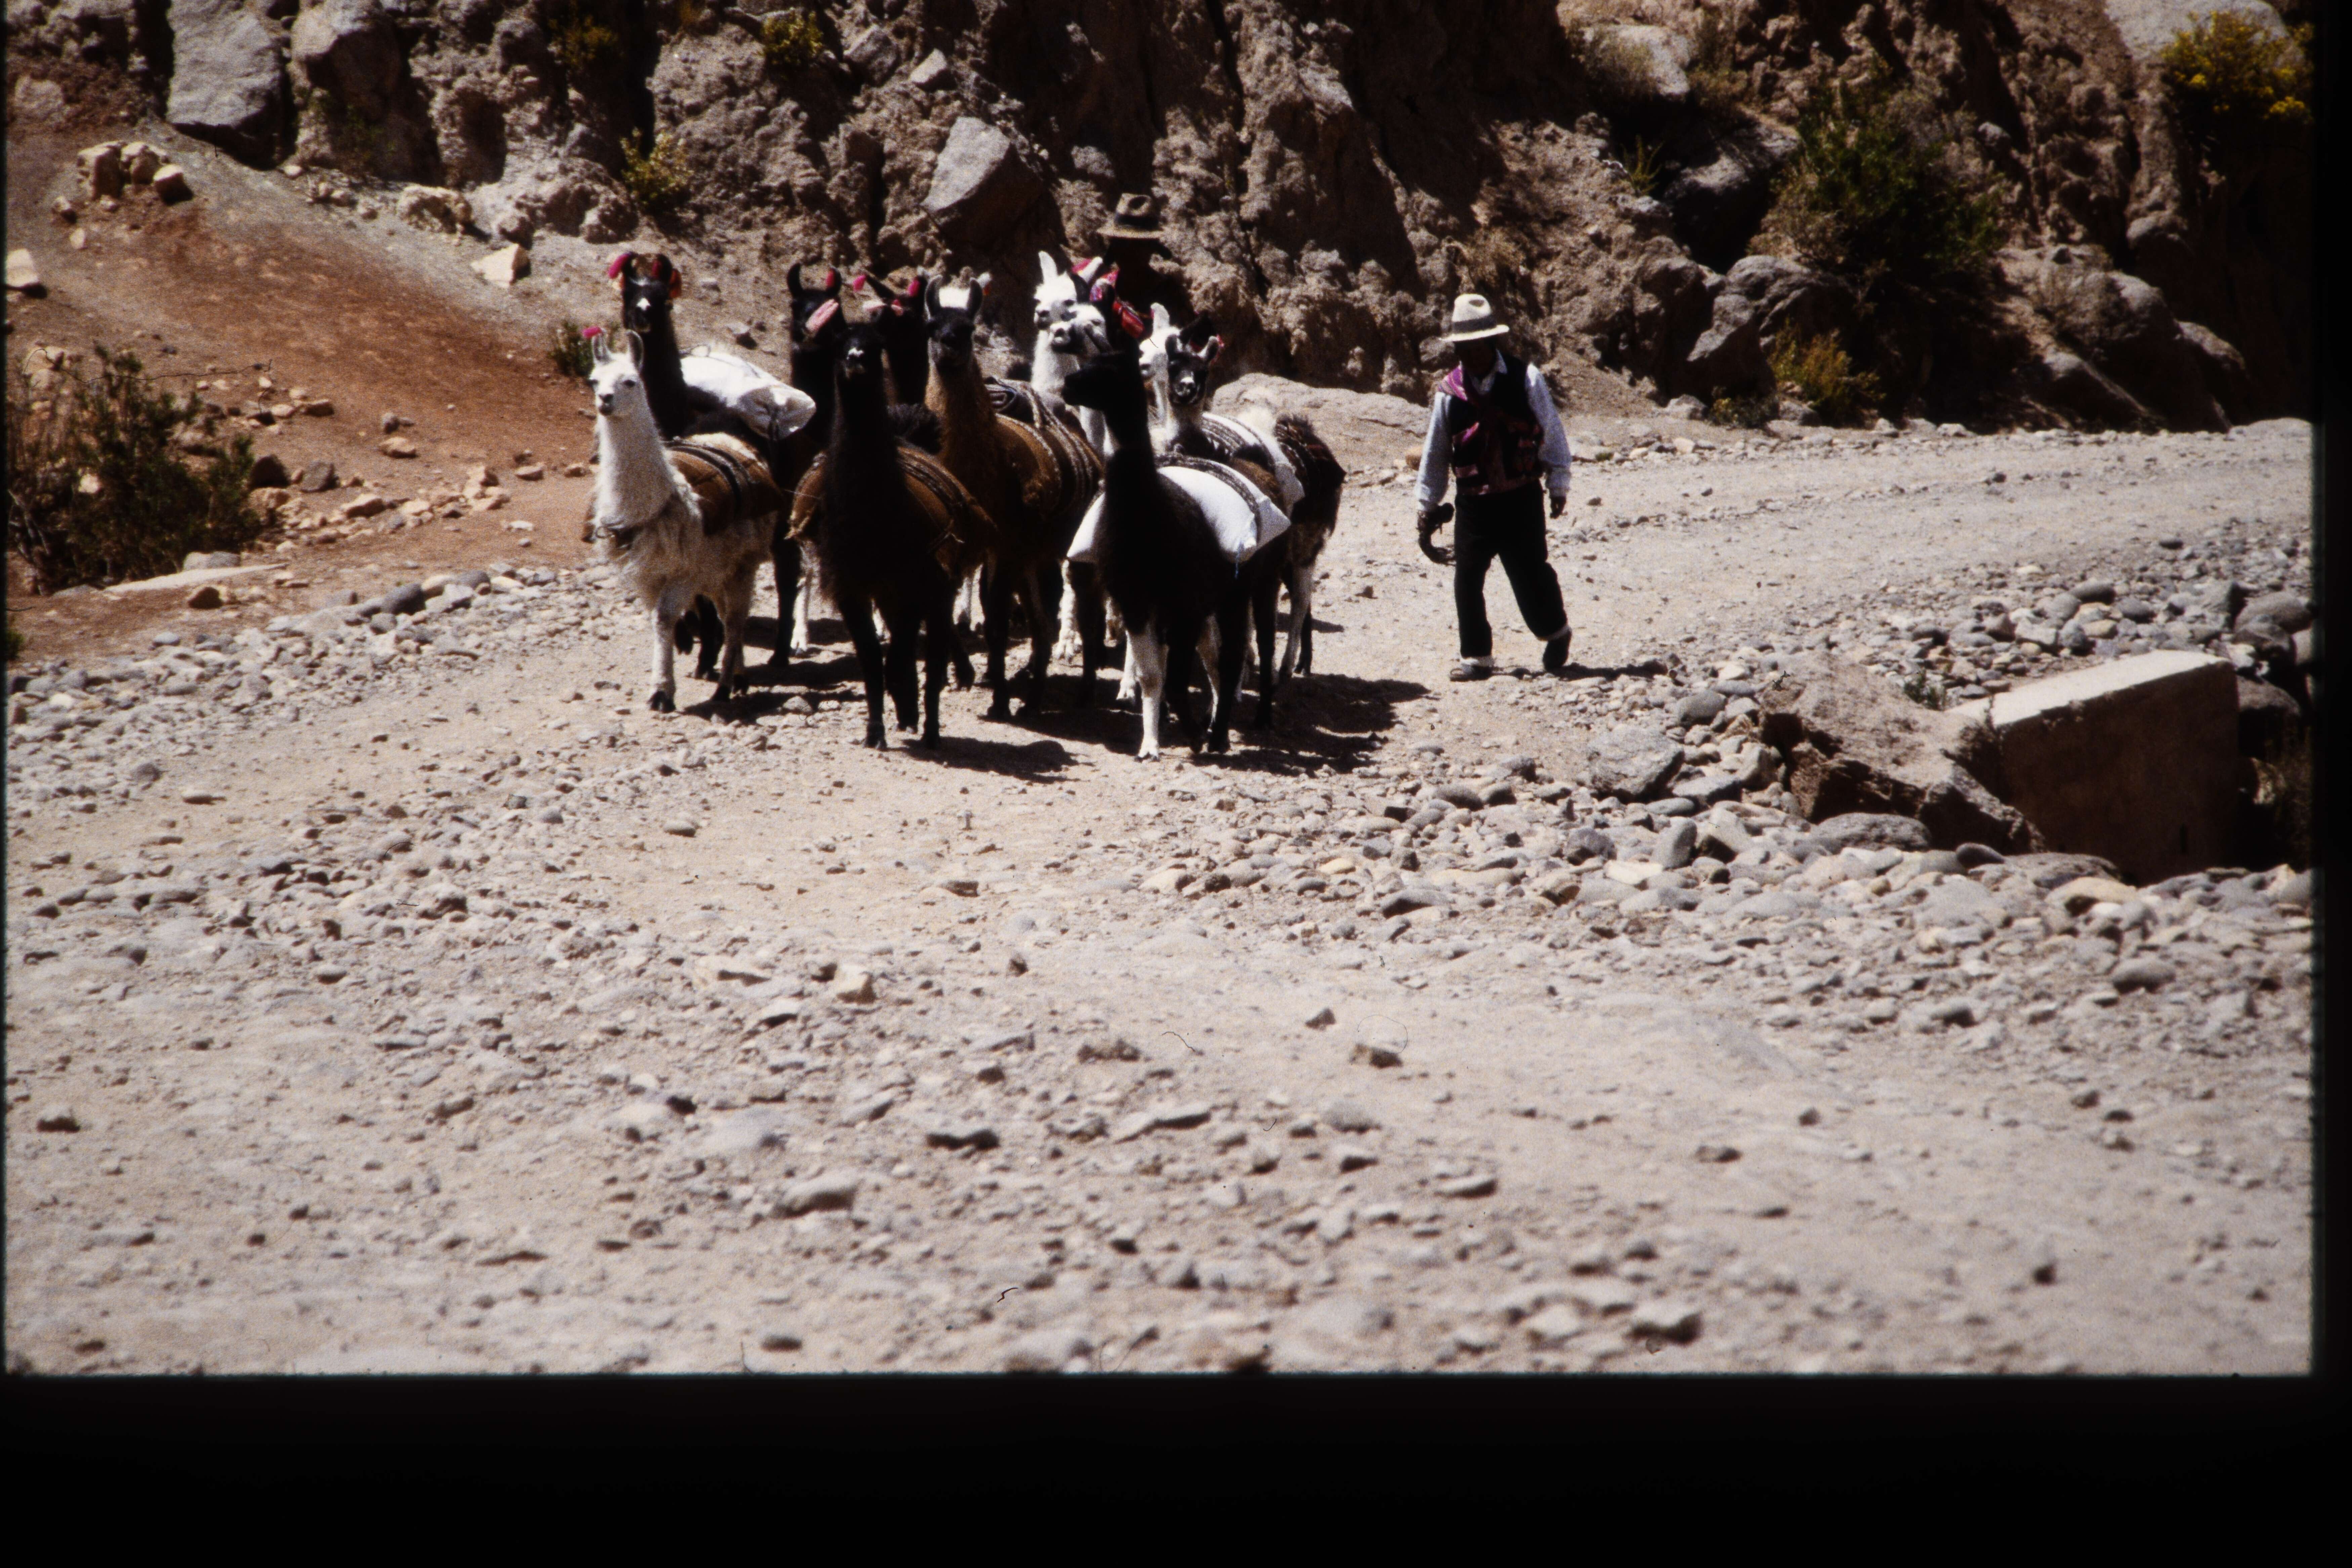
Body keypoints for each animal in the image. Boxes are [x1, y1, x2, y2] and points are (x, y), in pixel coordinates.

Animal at [585, 328, 777, 712]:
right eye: (594, 381)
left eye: (631, 381)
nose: (605, 401)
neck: (658, 504)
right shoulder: (646, 574)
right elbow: (658, 621)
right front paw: (663, 685)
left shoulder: (686, 571)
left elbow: (664, 618)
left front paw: (662, 693)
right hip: (720, 568)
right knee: (726, 614)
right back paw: (738, 677)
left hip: (742, 563)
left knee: (735, 620)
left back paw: (727, 686)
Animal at [788, 314, 994, 747]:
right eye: (841, 343)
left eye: (874, 346)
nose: (855, 358)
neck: (873, 520)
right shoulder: (852, 586)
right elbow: (871, 658)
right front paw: (875, 731)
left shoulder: (913, 582)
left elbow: (901, 654)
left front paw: (907, 710)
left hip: (929, 586)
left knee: (932, 653)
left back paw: (929, 725)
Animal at [1060, 342, 1290, 759]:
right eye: (1088, 362)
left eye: (1113, 369)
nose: (1068, 385)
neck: (1149, 519)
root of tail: (1252, 462)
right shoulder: (1137, 600)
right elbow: (1154, 674)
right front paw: (1151, 743)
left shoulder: (1186, 604)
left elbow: (1179, 676)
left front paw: (1196, 732)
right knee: (1220, 658)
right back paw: (1215, 726)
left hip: (1257, 583)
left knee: (1252, 649)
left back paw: (1242, 724)